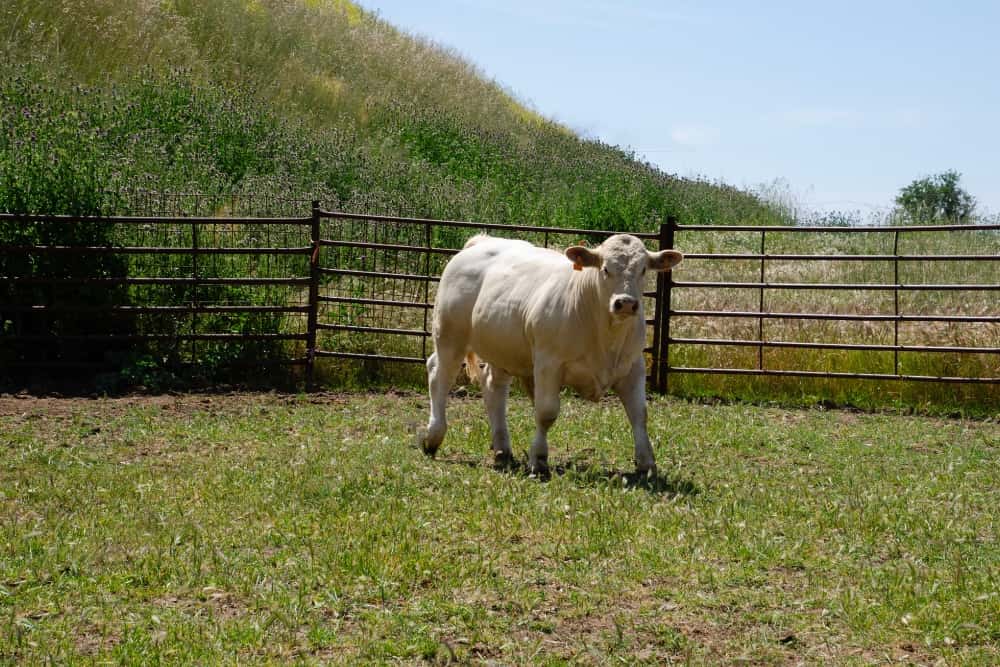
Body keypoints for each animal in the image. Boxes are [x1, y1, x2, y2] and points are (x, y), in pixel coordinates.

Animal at [418, 233, 683, 476]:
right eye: (606, 269)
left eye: (643, 269)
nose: (626, 303)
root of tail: (482, 241)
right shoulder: (548, 363)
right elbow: (546, 412)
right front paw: (539, 459)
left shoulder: (633, 366)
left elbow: (639, 414)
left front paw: (647, 463)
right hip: (449, 336)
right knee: (439, 375)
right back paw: (433, 437)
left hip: (502, 349)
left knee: (494, 387)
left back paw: (502, 450)